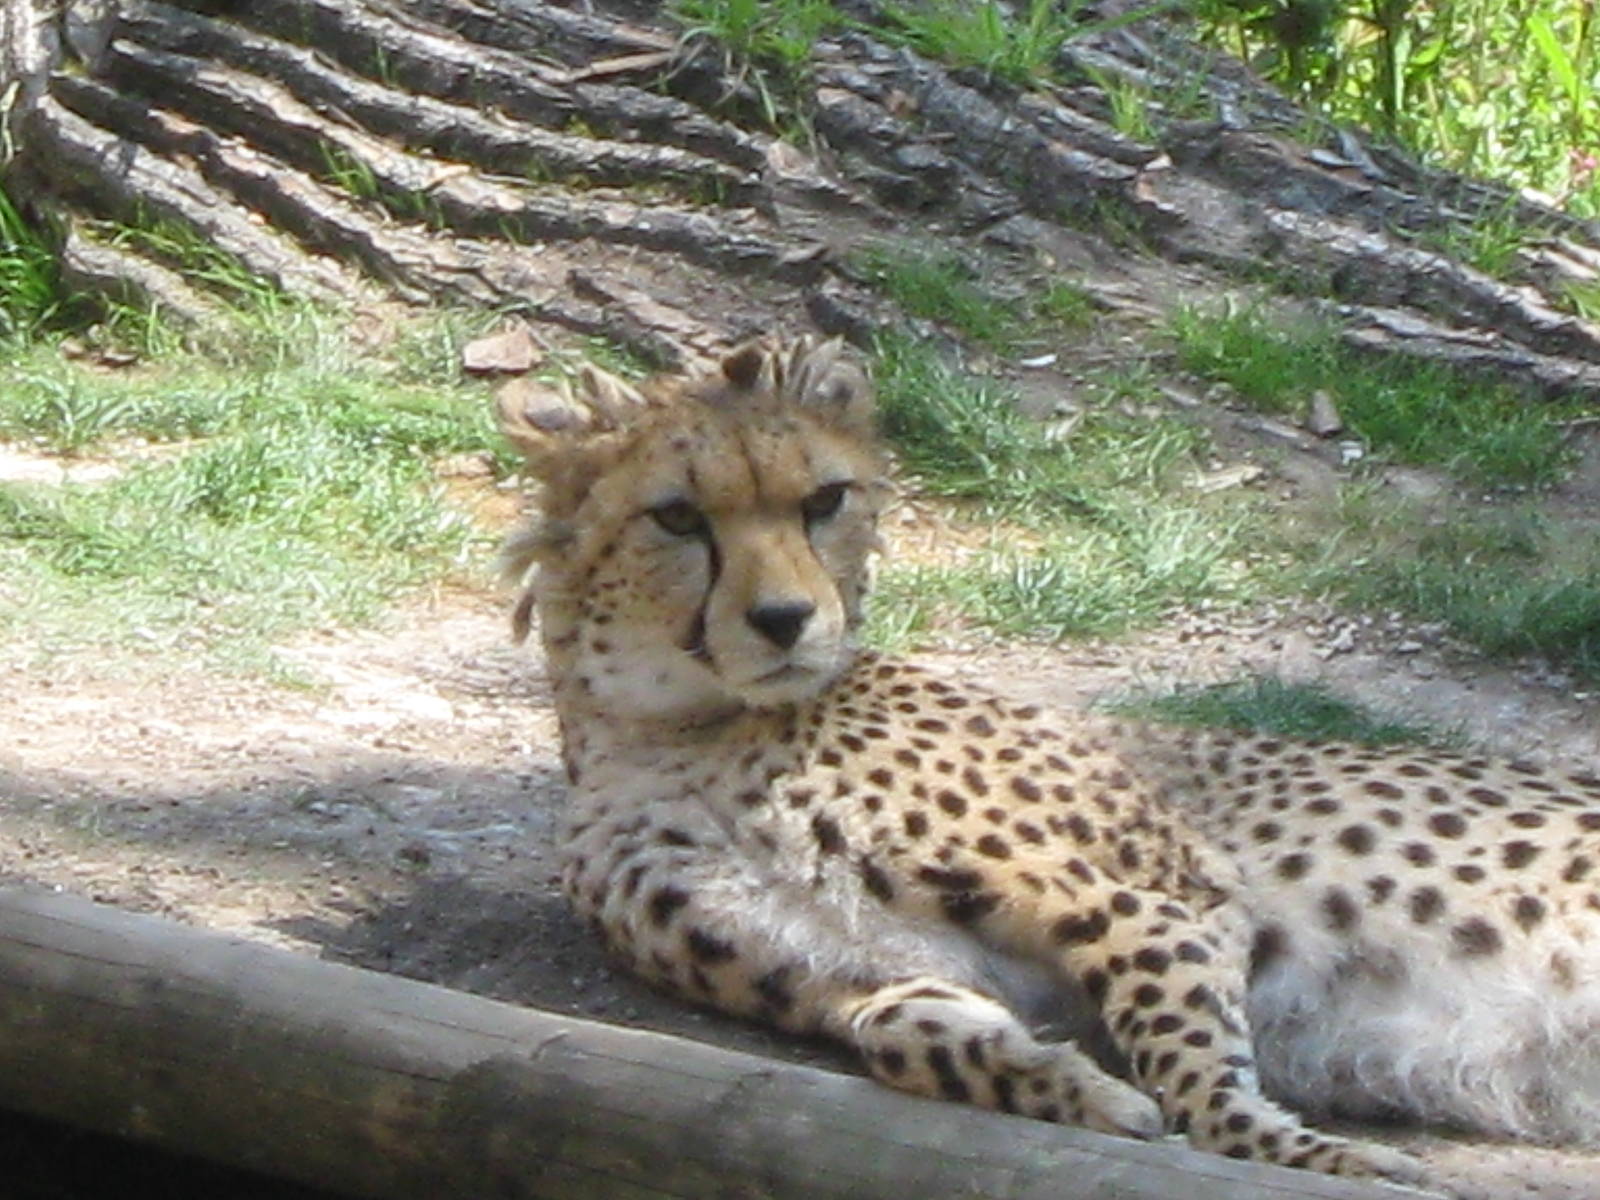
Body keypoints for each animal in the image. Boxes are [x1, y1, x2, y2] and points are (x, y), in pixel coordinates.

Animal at [496, 334, 1600, 1188]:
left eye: (823, 501)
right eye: (678, 516)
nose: (785, 619)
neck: (677, 729)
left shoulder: (1163, 896)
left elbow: (1199, 1081)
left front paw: (1328, 1161)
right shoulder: (857, 977)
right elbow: (901, 1031)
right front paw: (1073, 1088)